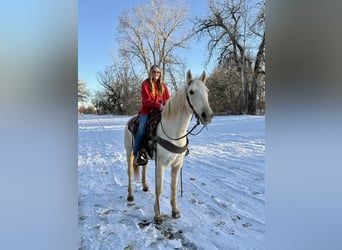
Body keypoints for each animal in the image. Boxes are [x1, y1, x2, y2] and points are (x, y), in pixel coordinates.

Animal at [124, 69, 212, 224]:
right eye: (191, 92)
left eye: (206, 91)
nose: (207, 115)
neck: (174, 133)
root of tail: (130, 120)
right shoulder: (161, 164)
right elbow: (159, 189)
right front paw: (158, 215)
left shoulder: (177, 165)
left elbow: (173, 187)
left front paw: (175, 211)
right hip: (129, 153)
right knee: (129, 172)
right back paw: (130, 196)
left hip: (145, 155)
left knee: (144, 167)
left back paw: (145, 186)